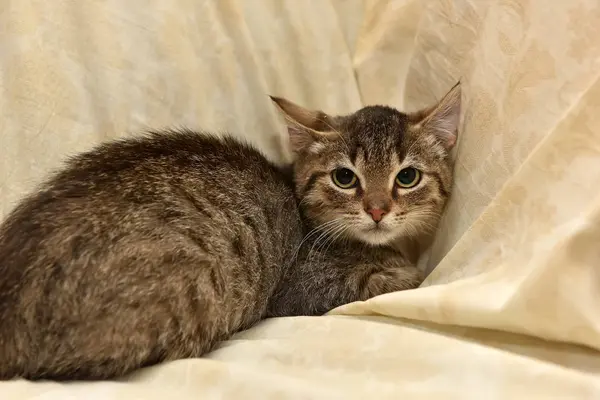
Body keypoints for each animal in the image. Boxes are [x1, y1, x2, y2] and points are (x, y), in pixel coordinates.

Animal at [0, 83, 462, 380]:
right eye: (345, 178)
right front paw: (402, 271)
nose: (378, 210)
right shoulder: (301, 290)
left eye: (407, 177)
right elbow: (388, 279)